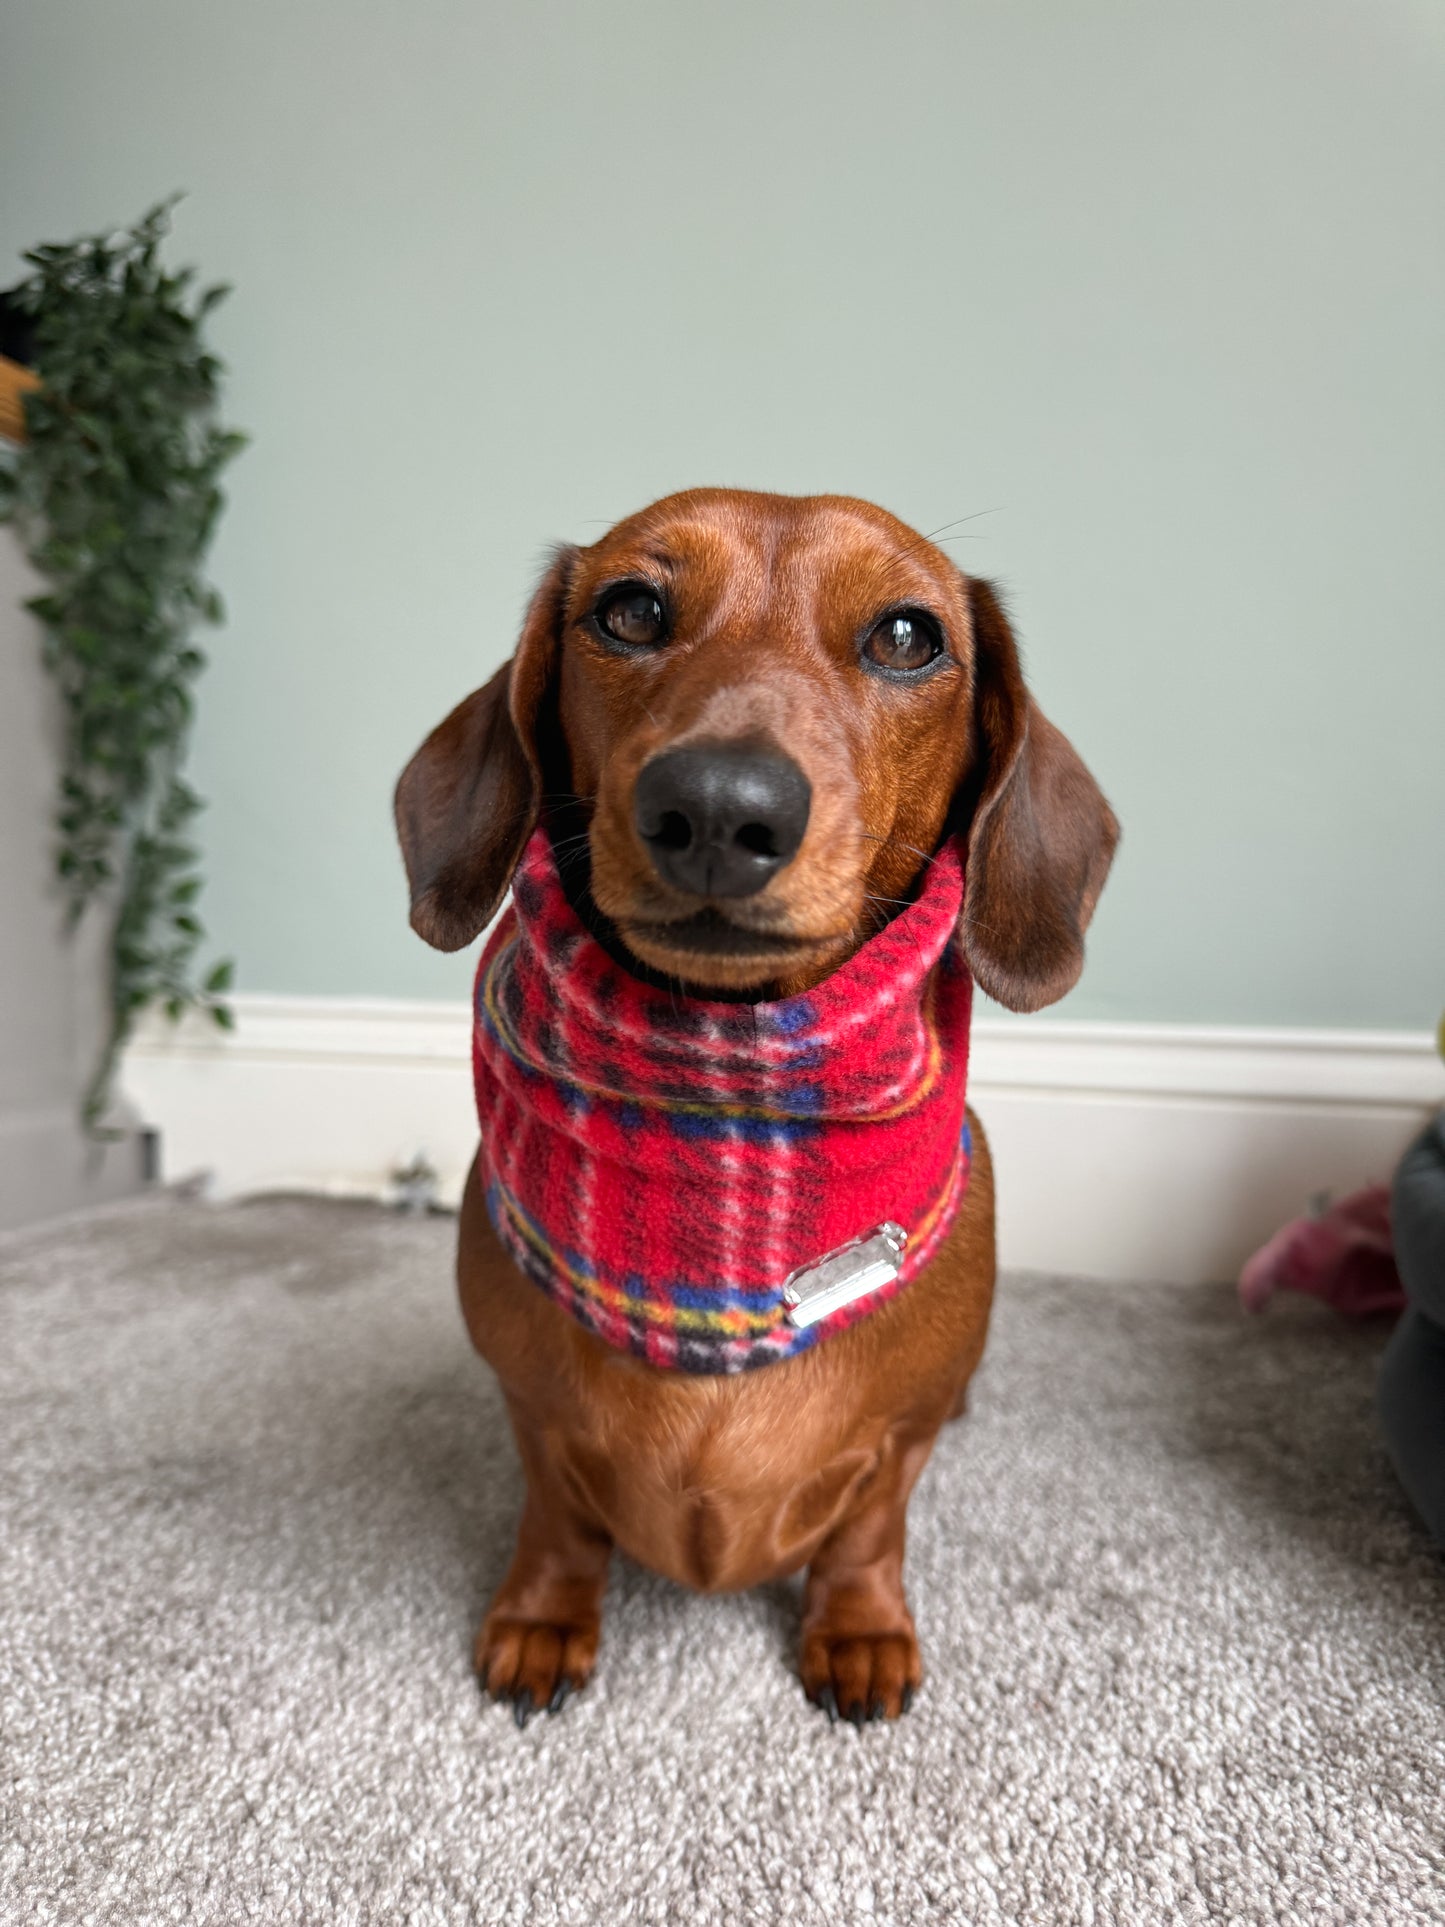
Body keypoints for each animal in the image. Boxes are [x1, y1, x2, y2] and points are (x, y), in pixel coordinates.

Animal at [396, 489, 1117, 1726]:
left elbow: (869, 1527)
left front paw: (859, 1630)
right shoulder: (529, 1411)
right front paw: (543, 1616)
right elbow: (556, 1515)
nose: (716, 805)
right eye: (630, 611)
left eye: (906, 635)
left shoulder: (899, 1439)